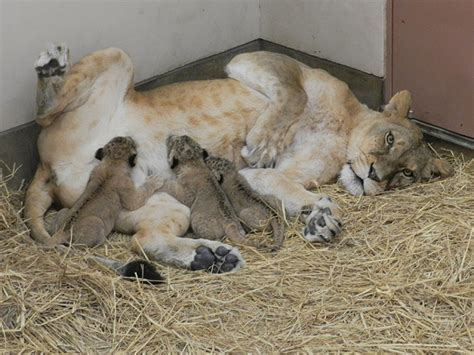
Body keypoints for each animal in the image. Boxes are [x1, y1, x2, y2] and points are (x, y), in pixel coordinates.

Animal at [25, 45, 452, 272]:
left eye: (407, 174)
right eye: (390, 138)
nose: (376, 176)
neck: (344, 126)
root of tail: (46, 168)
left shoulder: (273, 175)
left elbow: (288, 186)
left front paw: (319, 219)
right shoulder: (261, 60)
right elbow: (292, 93)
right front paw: (263, 143)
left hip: (159, 201)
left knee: (145, 242)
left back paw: (210, 257)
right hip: (117, 60)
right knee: (42, 113)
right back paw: (50, 67)